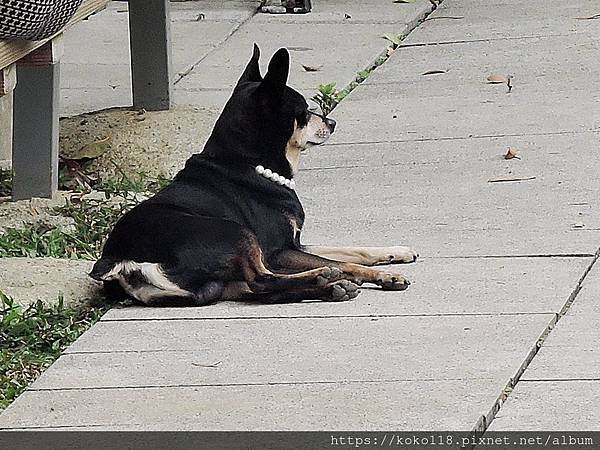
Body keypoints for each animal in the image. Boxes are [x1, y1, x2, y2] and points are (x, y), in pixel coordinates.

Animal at [90, 45, 418, 306]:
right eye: (304, 112)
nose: (332, 122)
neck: (246, 162)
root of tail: (121, 261)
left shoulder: (294, 244)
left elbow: (351, 250)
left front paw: (395, 253)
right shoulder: (279, 250)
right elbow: (341, 260)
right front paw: (384, 275)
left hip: (223, 282)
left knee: (261, 290)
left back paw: (331, 286)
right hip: (235, 233)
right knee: (263, 281)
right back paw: (324, 277)